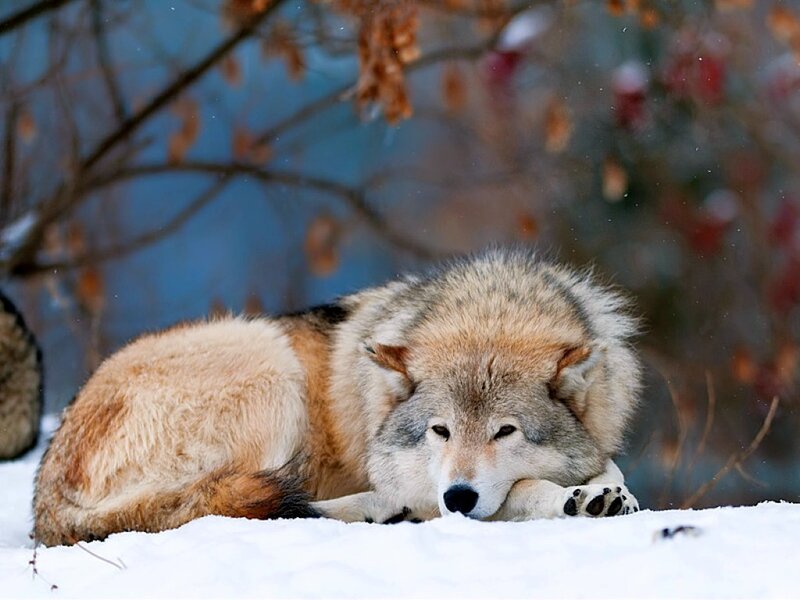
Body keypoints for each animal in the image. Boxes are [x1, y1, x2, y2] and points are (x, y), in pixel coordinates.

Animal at [34, 249, 641, 546]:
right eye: (440, 431)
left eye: (505, 431)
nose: (458, 496)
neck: (492, 309)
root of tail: (45, 494)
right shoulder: (425, 481)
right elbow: (521, 490)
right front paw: (573, 500)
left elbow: (607, 465)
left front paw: (605, 492)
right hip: (270, 366)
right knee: (244, 507)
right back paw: (382, 510)